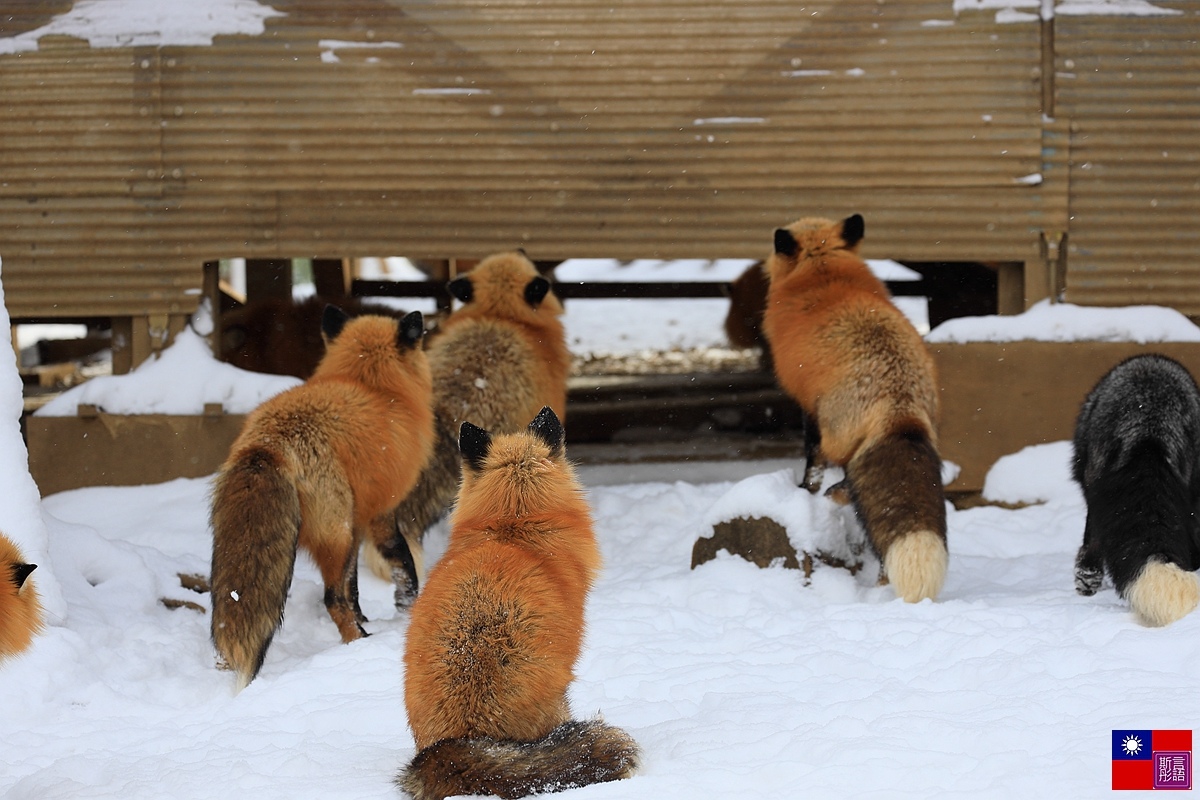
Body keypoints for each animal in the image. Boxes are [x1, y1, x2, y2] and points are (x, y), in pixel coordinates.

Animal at [211, 304, 436, 690]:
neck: (376, 387)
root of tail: (266, 442)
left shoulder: (359, 520)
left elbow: (354, 585)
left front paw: (366, 615)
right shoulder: (383, 511)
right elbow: (402, 562)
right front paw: (408, 606)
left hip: (338, 532)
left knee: (335, 593)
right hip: (337, 531)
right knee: (331, 600)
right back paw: (358, 645)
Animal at [763, 212, 950, 599]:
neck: (822, 270)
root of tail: (900, 409)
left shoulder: (808, 407)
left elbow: (811, 463)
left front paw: (803, 491)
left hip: (836, 431)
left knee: (844, 481)